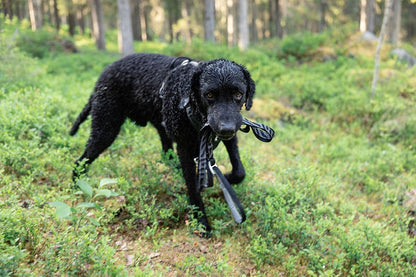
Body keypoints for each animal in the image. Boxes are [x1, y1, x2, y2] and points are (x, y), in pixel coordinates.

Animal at [70, 52, 255, 233]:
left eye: (238, 94)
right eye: (209, 95)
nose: (226, 128)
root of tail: (103, 76)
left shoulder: (228, 135)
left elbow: (239, 171)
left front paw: (228, 178)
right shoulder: (185, 147)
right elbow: (193, 189)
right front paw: (201, 221)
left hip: (159, 124)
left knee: (167, 153)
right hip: (105, 128)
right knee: (80, 161)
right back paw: (75, 187)